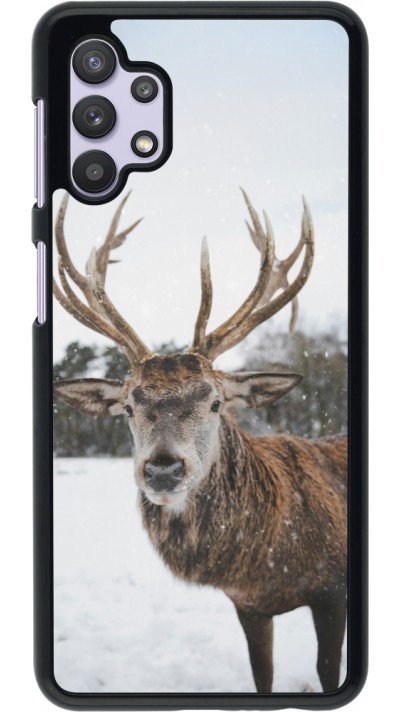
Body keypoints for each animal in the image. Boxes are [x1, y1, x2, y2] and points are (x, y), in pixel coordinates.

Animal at [53, 189, 347, 694]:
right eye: (128, 407)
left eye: (214, 402)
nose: (163, 469)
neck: (267, 564)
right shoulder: (247, 604)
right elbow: (262, 675)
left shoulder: (333, 590)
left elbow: (329, 671)